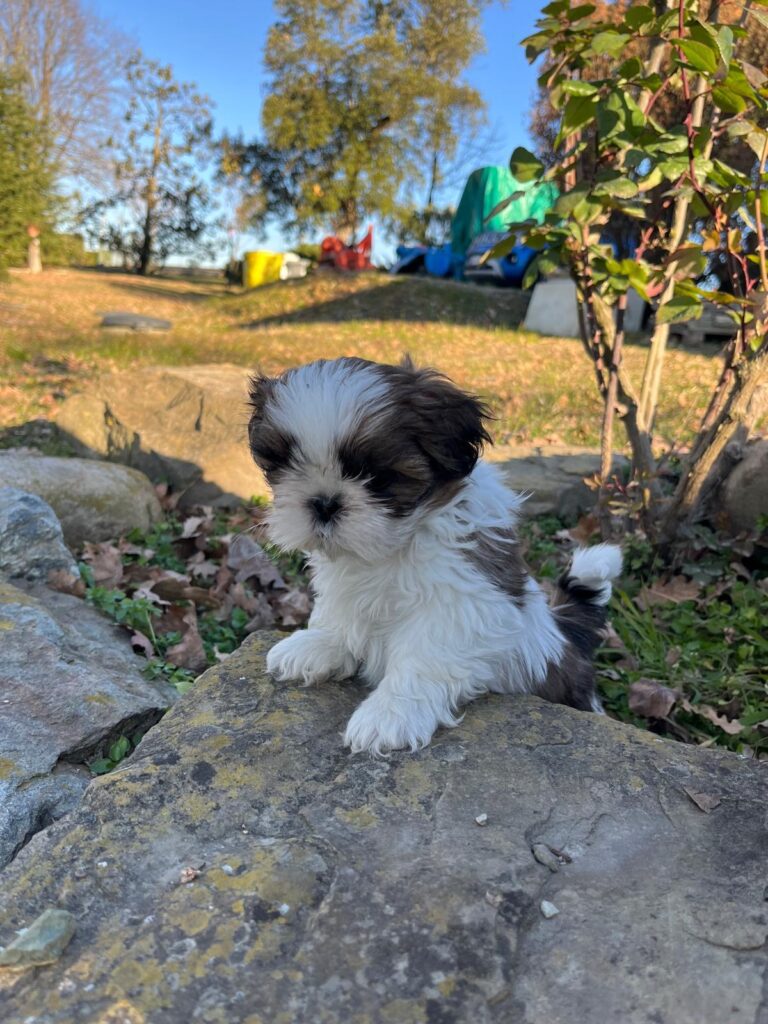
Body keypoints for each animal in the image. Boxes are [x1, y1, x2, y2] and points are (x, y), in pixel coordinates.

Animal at [249, 358, 622, 753]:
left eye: (376, 476)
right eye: (283, 466)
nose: (323, 502)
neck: (390, 548)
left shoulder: (462, 603)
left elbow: (424, 656)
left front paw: (389, 714)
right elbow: (341, 613)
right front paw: (317, 644)